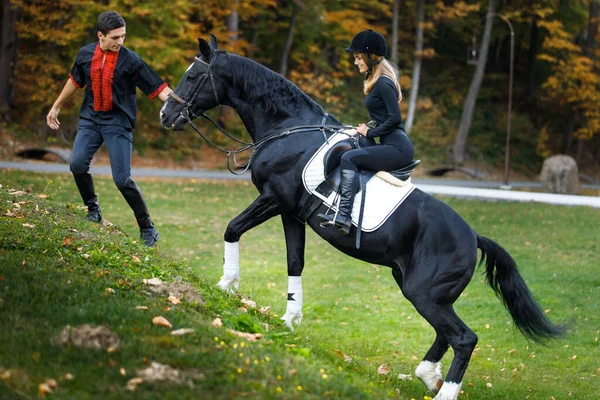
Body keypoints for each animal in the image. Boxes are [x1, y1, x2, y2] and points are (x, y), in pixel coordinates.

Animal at [161, 36, 564, 398]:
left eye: (193, 76)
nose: (166, 116)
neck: (287, 128)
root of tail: (473, 236)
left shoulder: (273, 198)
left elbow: (232, 229)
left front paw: (226, 284)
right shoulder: (290, 212)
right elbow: (295, 261)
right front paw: (289, 319)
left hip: (424, 293)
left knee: (464, 338)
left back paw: (443, 390)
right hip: (425, 291)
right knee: (445, 334)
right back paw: (428, 375)